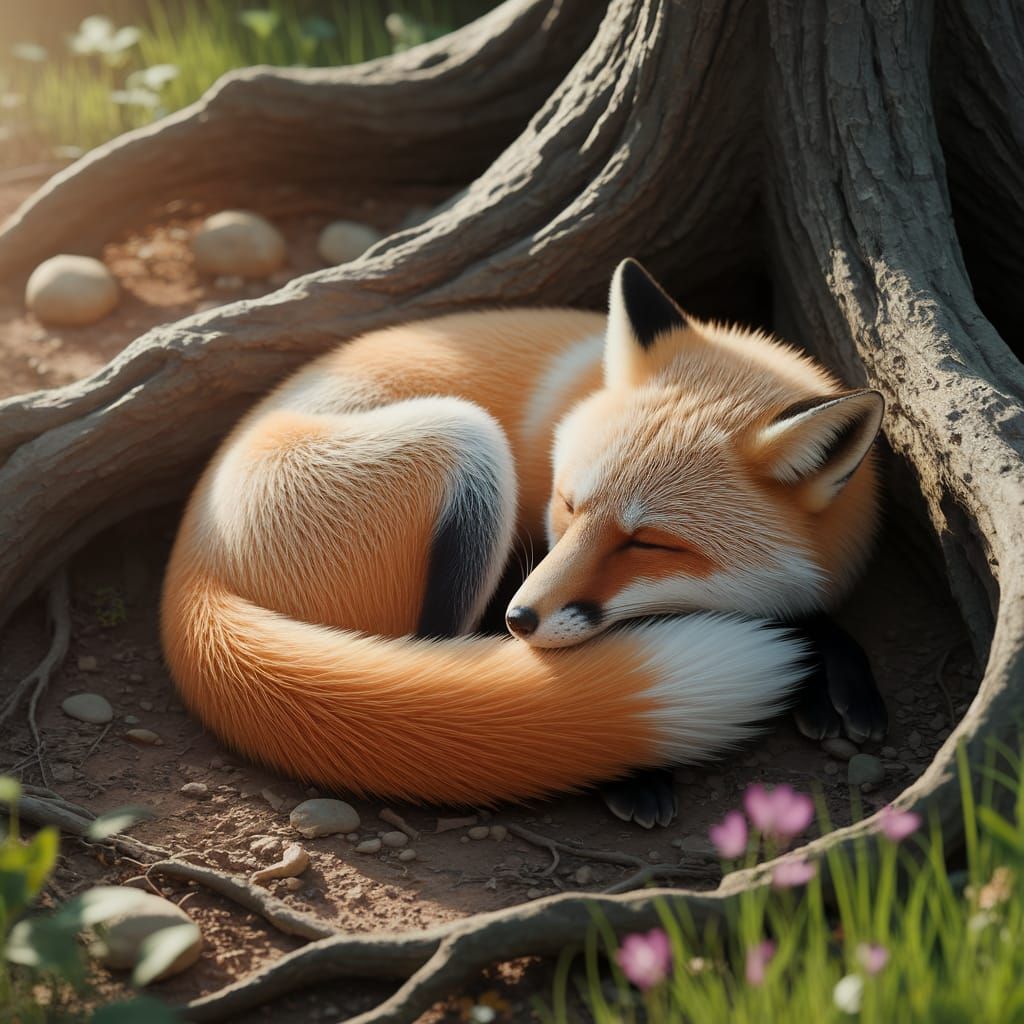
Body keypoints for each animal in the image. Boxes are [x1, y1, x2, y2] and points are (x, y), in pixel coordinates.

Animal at [161, 259, 887, 825]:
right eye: (568, 503)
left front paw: (840, 672)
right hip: (469, 438)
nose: (520, 618)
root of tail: (195, 559)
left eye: (648, 543)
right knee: (434, 656)